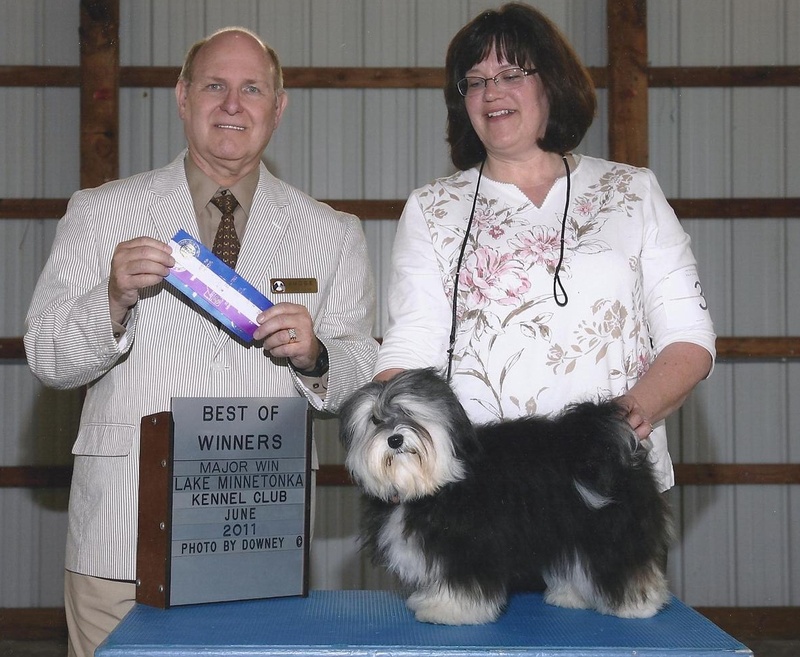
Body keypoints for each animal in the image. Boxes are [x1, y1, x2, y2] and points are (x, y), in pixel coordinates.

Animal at [340, 366, 676, 624]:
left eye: (409, 413)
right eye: (375, 420)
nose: (395, 439)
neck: (436, 483)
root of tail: (597, 438)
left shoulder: (470, 546)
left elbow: (463, 583)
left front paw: (448, 610)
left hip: (610, 531)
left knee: (626, 566)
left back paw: (639, 606)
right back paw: (573, 595)